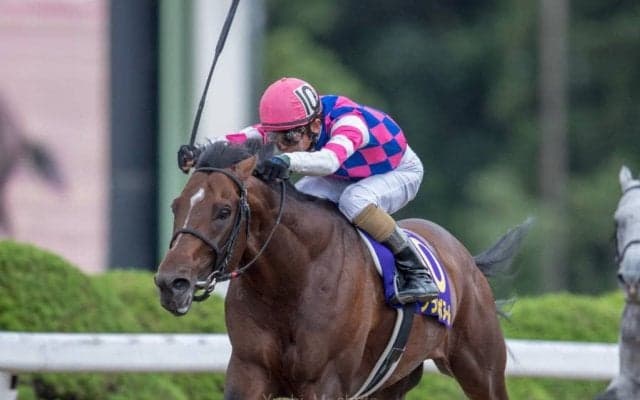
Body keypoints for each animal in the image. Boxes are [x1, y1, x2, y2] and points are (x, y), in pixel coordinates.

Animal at [155, 139, 530, 399]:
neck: (291, 282)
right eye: (176, 205)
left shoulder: (325, 381)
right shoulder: (248, 372)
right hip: (390, 385)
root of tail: (467, 261)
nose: (171, 283)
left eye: (223, 211)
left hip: (481, 369)